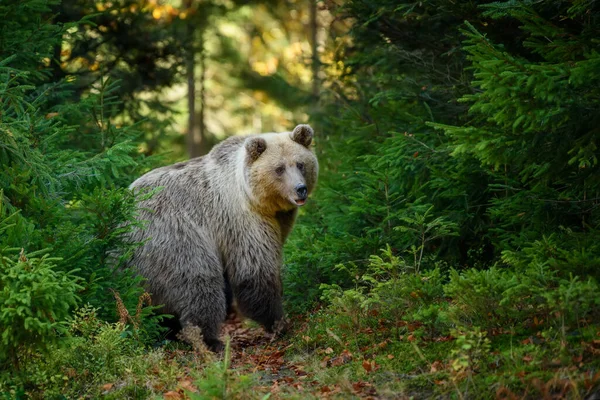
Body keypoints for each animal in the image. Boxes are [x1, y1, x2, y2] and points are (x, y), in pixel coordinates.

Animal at [127, 124, 318, 350]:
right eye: (279, 168)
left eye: (300, 164)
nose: (300, 189)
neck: (260, 202)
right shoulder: (241, 220)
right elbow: (254, 271)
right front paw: (278, 321)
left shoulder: (280, 220)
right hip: (172, 235)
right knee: (199, 281)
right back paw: (208, 339)